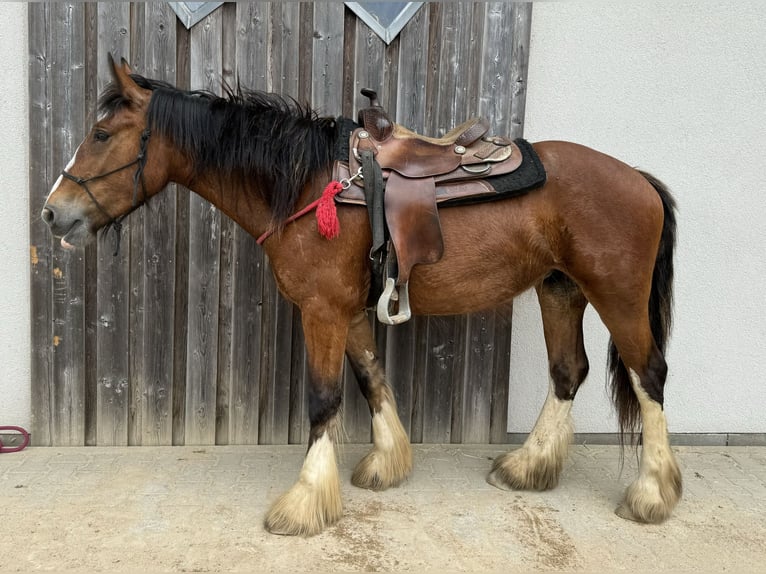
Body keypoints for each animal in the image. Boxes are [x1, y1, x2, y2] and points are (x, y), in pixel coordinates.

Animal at [42, 56, 680, 536]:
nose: (52, 213)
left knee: (649, 374)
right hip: (560, 289)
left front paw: (305, 501)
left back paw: (651, 492)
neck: (306, 184)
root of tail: (639, 179)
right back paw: (530, 466)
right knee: (567, 371)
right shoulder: (347, 312)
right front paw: (386, 462)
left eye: (101, 135)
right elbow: (372, 377)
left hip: (616, 295)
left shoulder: (321, 311)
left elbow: (324, 399)